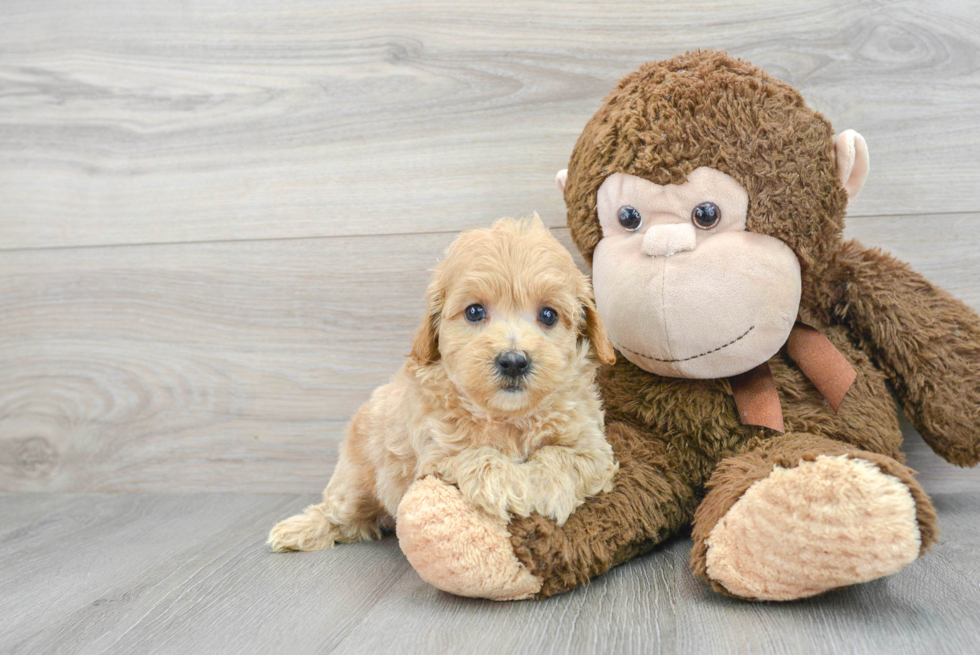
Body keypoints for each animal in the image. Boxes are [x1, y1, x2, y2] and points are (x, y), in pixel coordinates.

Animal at [268, 215, 616, 552]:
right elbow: (473, 455)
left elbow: (564, 457)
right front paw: (505, 485)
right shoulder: (435, 455)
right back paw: (297, 531)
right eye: (474, 312)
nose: (514, 361)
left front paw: (543, 487)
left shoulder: (593, 447)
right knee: (339, 512)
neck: (507, 416)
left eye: (548, 315)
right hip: (356, 479)